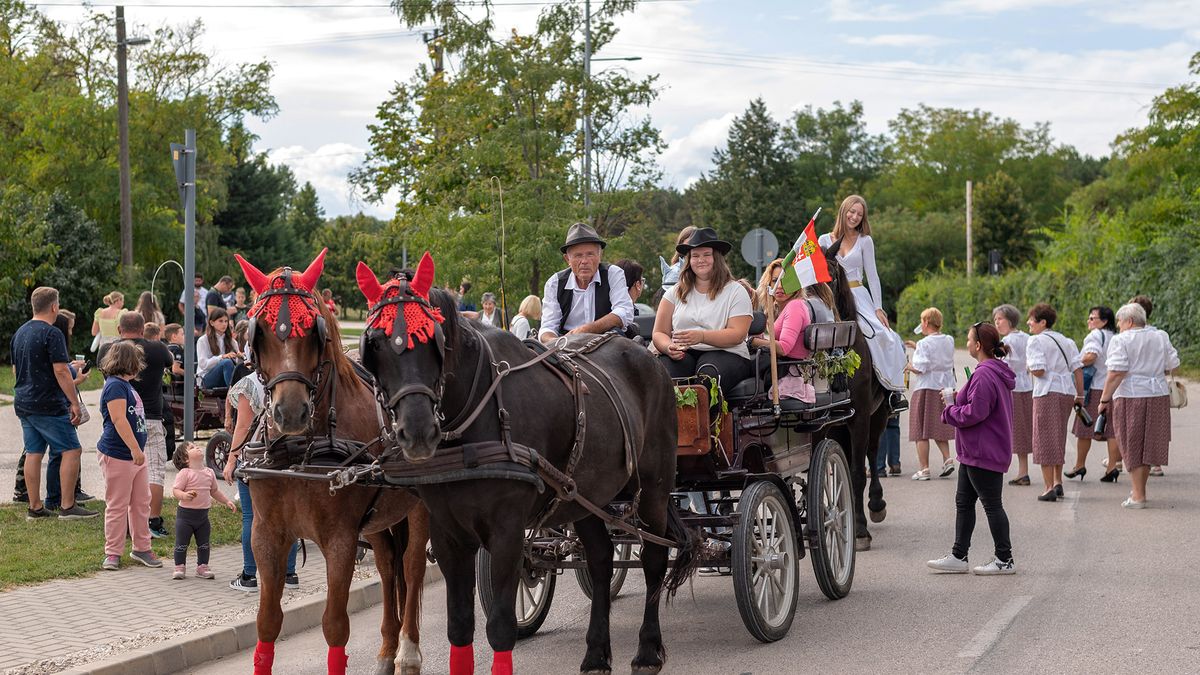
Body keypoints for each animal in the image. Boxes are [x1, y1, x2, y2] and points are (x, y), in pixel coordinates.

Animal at [235, 248, 432, 672]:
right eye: (259, 331)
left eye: (314, 331)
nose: (290, 412)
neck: (297, 456)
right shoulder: (266, 535)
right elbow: (267, 622)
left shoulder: (340, 539)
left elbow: (335, 625)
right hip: (377, 521)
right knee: (388, 565)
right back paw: (386, 650)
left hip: (421, 506)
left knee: (411, 565)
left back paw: (407, 651)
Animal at [355, 252, 696, 672]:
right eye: (375, 344)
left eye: (433, 340)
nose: (417, 431)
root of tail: (648, 358)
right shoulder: (449, 534)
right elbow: (459, 626)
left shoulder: (507, 532)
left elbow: (500, 626)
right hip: (587, 497)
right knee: (600, 562)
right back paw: (595, 652)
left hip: (654, 487)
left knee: (653, 559)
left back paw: (647, 649)